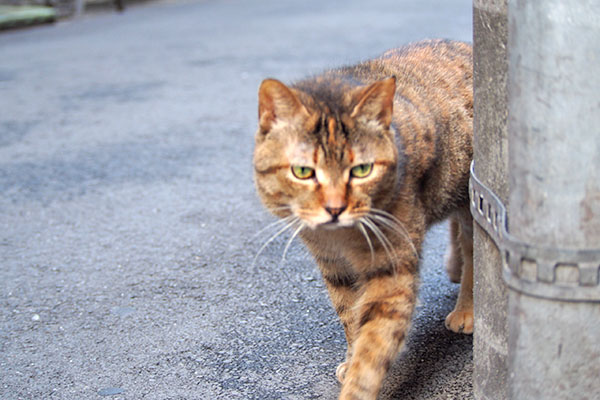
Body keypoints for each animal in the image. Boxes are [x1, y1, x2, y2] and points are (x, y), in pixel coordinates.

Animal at [252, 38, 474, 400]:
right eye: (303, 172)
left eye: (362, 170)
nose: (335, 208)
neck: (341, 239)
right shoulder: (334, 266)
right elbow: (350, 317)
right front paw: (350, 355)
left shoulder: (391, 272)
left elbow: (373, 347)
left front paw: (356, 383)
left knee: (474, 255)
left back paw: (466, 309)